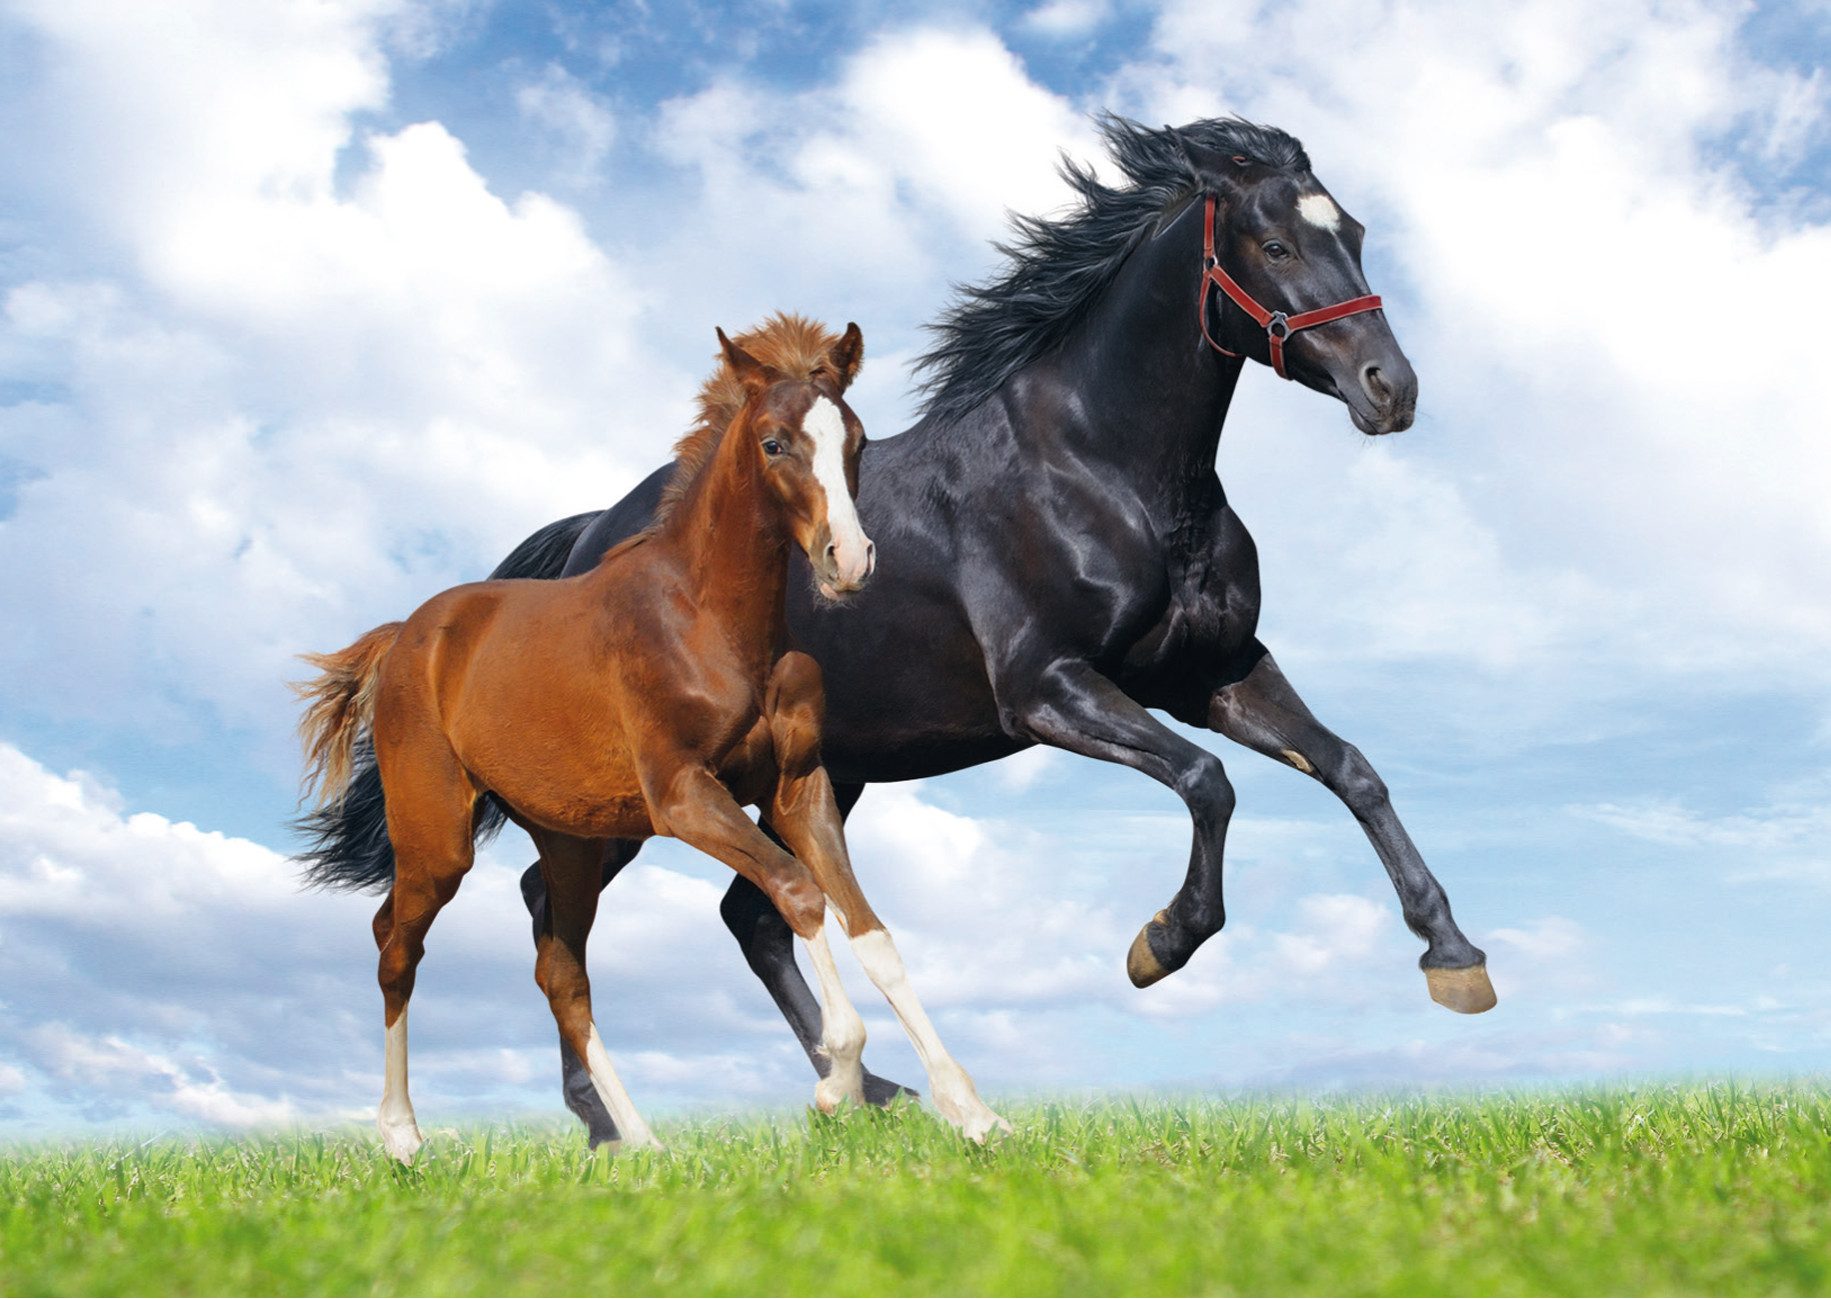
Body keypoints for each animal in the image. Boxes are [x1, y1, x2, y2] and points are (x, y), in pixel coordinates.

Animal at [293, 319, 1008, 1162]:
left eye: (856, 440)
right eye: (773, 442)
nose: (850, 560)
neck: (709, 621)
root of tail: (408, 633)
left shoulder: (798, 787)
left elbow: (869, 929)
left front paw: (971, 1112)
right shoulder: (683, 795)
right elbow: (798, 892)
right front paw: (838, 1077)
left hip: (568, 840)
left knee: (560, 972)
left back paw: (639, 1140)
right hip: (439, 836)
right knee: (396, 943)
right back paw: (403, 1135)